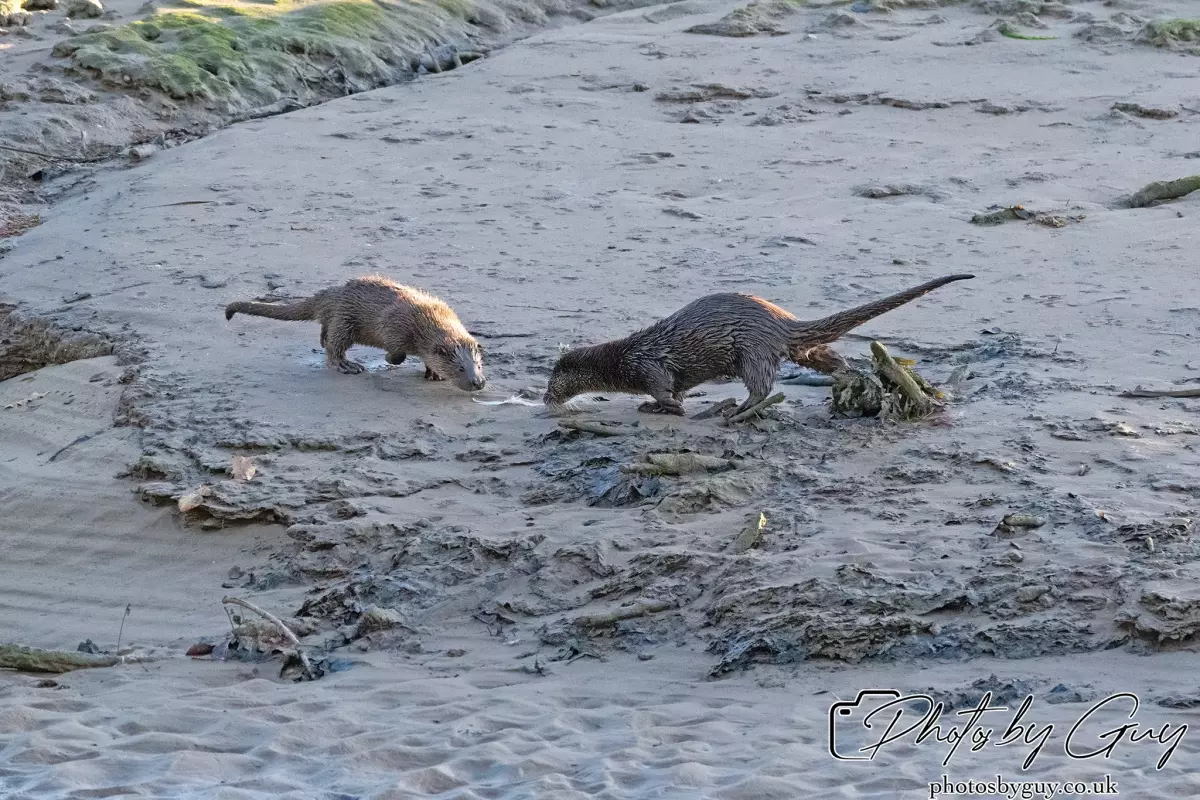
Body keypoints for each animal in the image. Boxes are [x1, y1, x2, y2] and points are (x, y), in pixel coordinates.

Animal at [225, 275, 486, 391]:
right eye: (460, 368)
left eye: (479, 365)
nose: (479, 382)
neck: (427, 318)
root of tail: (331, 294)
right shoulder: (393, 325)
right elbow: (396, 352)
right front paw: (390, 358)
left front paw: (434, 373)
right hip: (345, 321)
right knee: (334, 347)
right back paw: (348, 366)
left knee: (325, 335)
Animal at [543, 274, 973, 416]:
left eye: (553, 381)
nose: (546, 398)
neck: (624, 359)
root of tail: (779, 320)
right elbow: (676, 390)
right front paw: (658, 406)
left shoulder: (649, 367)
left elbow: (665, 389)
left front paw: (664, 407)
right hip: (797, 350)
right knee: (825, 356)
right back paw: (848, 375)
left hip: (753, 350)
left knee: (762, 385)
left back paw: (737, 410)